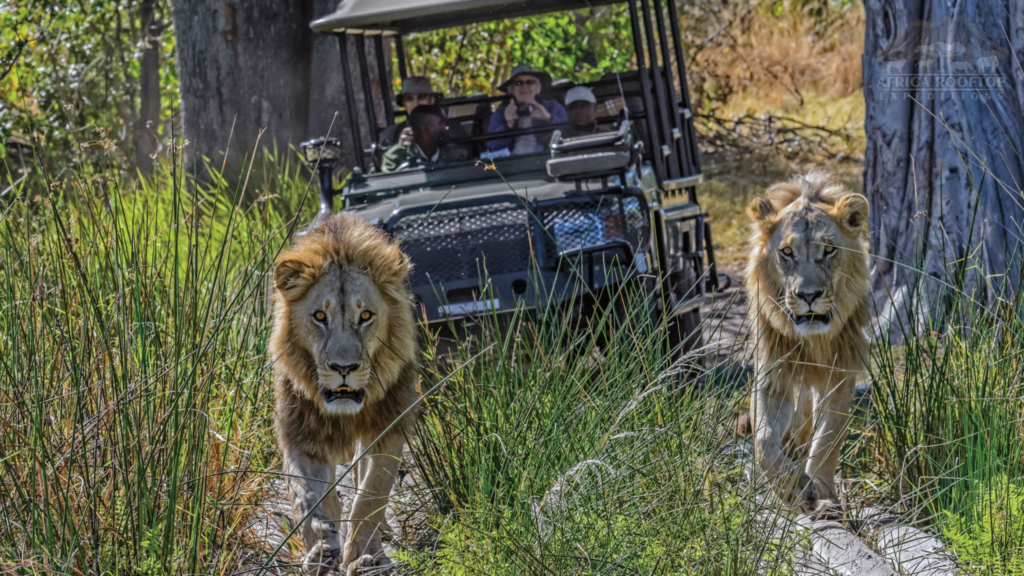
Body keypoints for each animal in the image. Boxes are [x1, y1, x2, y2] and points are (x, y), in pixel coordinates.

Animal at [272, 213, 419, 569]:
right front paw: (321, 550)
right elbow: (305, 498)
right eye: (319, 316)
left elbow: (371, 492)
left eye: (365, 316)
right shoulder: (300, 435)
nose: (343, 368)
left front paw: (364, 556)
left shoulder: (389, 427)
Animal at [745, 169, 872, 510]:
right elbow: (763, 440)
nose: (809, 295)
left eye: (828, 250)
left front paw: (823, 495)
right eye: (786, 252)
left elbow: (828, 439)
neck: (814, 343)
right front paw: (793, 489)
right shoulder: (773, 373)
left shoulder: (841, 374)